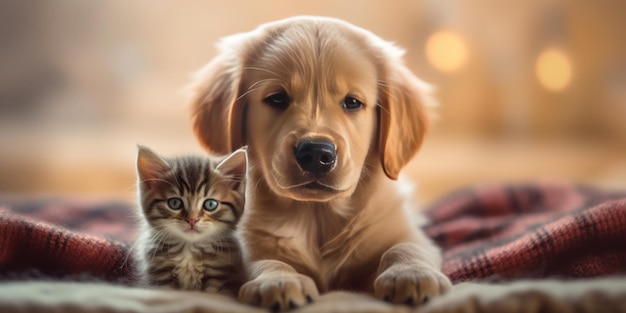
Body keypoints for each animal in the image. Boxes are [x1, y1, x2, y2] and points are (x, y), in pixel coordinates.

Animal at [133, 145, 245, 296]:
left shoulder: (219, 275)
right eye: (174, 203)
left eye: (210, 204)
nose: (192, 220)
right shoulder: (159, 275)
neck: (189, 251)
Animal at [189, 16, 448, 310]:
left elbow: (407, 246)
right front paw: (279, 280)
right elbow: (262, 261)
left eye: (352, 102)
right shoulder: (242, 244)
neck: (316, 217)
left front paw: (411, 273)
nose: (315, 154)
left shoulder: (402, 230)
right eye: (277, 98)